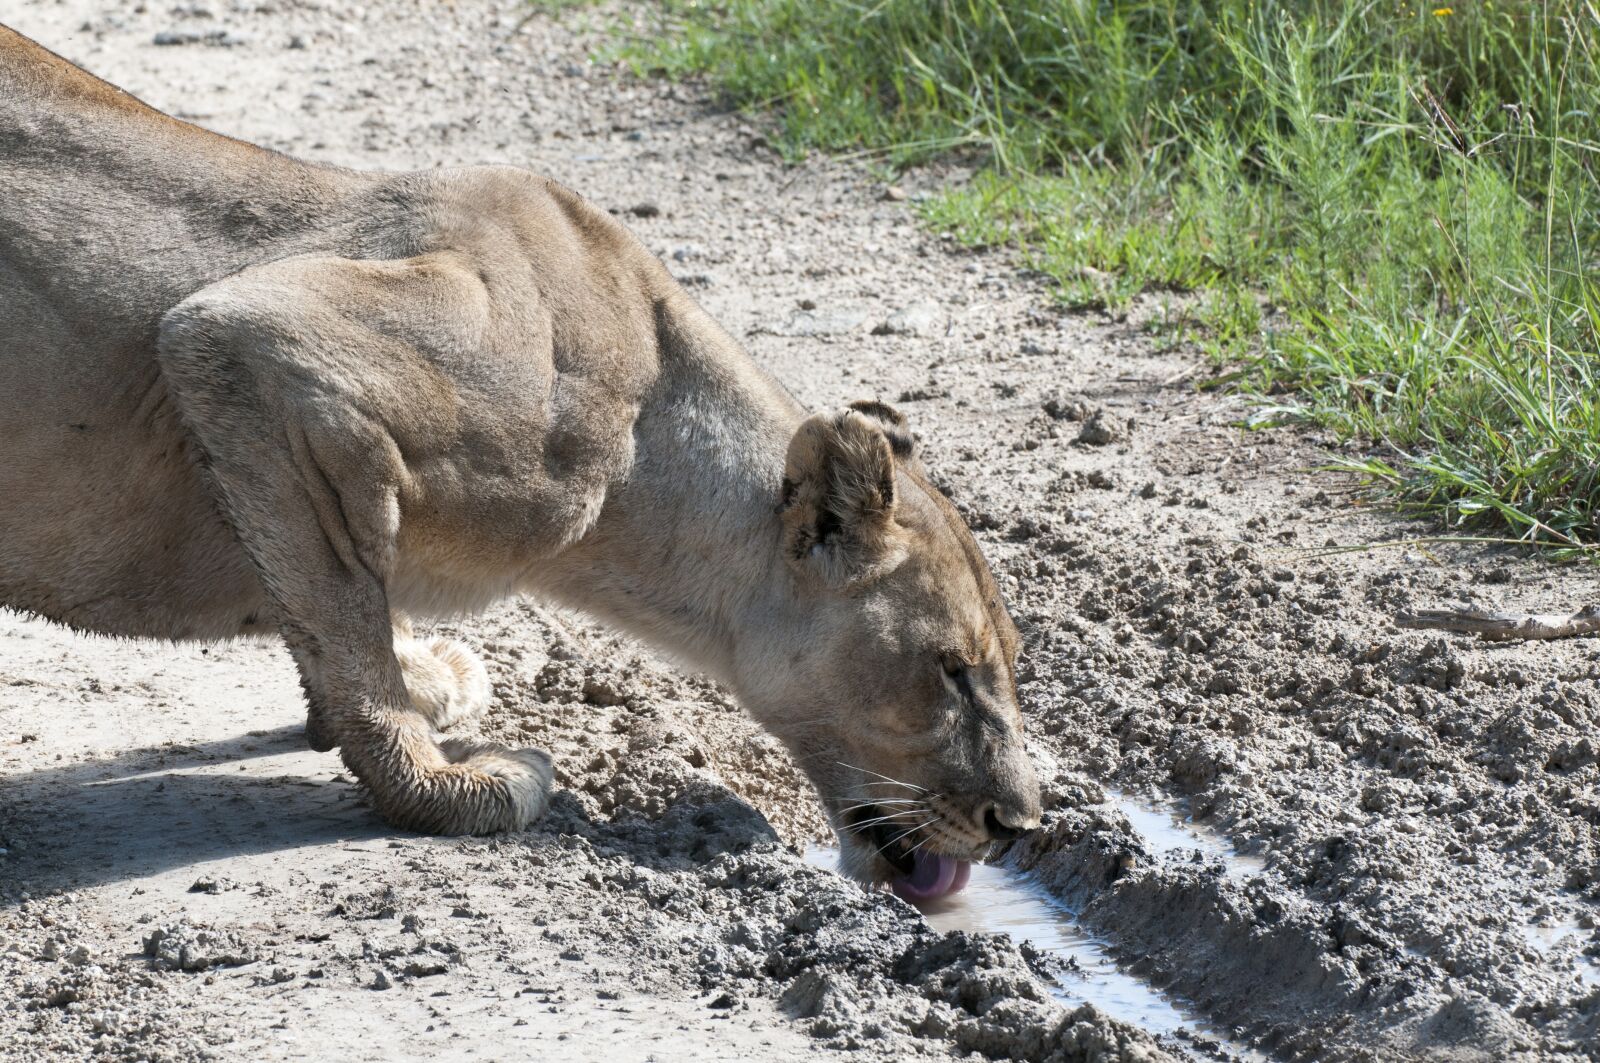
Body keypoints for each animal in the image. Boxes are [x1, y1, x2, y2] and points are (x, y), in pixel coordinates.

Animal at [0, 25, 1039, 897]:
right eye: (951, 669)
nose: (1020, 823)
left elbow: (338, 612)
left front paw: (419, 679)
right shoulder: (259, 342)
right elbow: (345, 616)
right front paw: (442, 782)